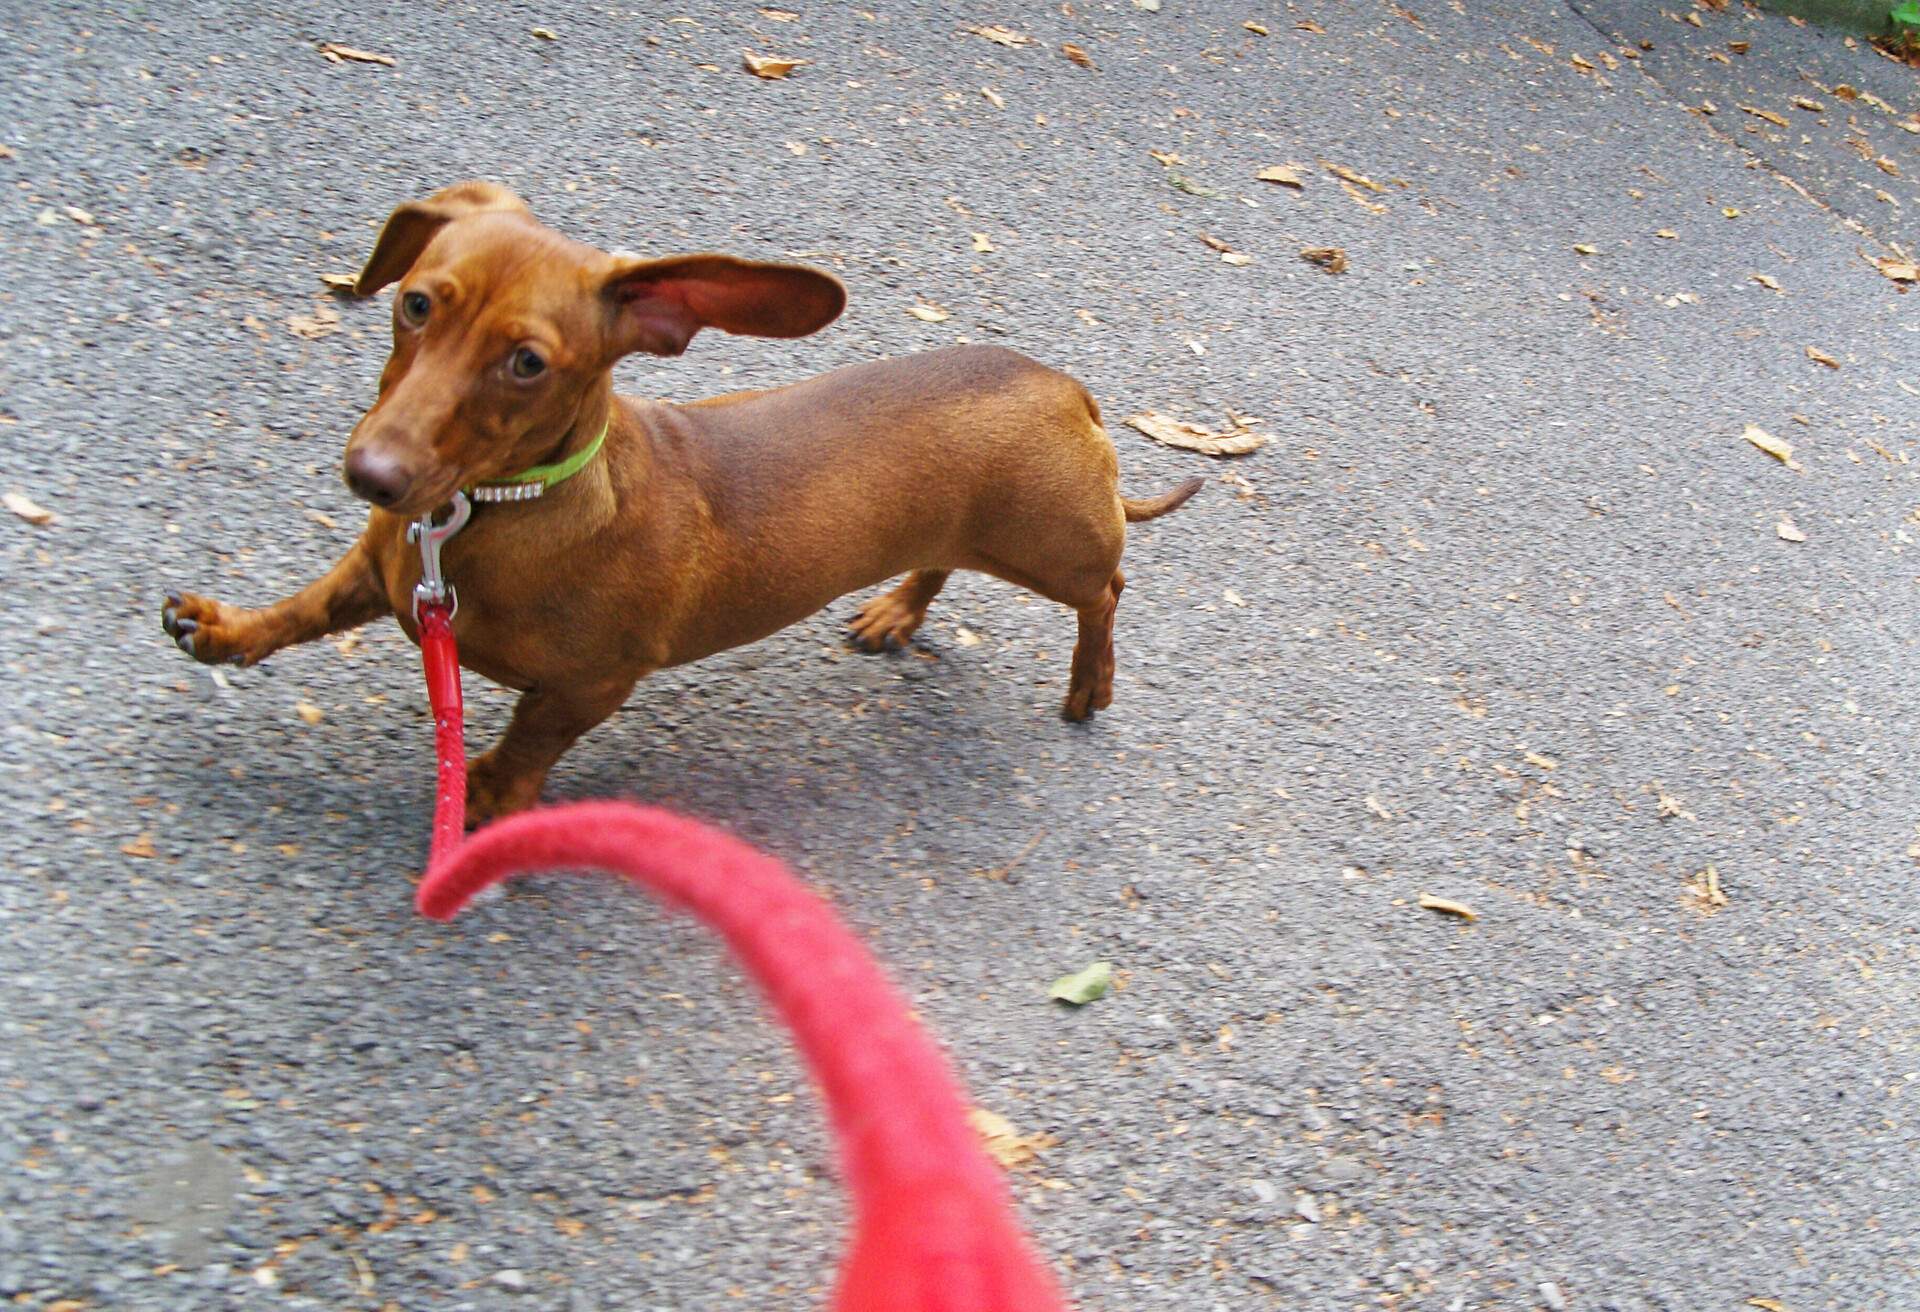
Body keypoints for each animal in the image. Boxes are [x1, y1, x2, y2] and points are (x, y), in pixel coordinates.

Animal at [161, 183, 1198, 822]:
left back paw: (1089, 684)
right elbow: (296, 611)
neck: (491, 514)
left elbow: (528, 741)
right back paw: (896, 611)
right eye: (415, 303)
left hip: (1052, 549)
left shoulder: (590, 686)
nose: (371, 476)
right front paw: (224, 629)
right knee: (942, 560)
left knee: (1107, 593)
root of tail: (1065, 386)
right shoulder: (376, 574)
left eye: (527, 362)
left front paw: (488, 795)